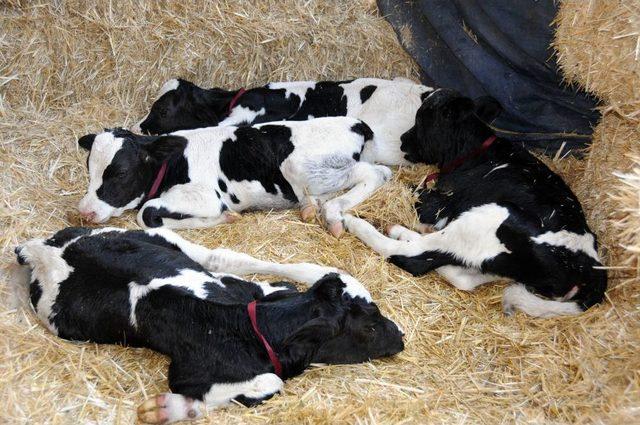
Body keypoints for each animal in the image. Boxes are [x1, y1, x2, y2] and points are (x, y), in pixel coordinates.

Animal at [13, 227, 404, 422]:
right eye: (369, 330)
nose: (400, 337)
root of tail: (41, 248)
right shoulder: (187, 372)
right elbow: (270, 382)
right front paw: (169, 408)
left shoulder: (255, 292)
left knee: (218, 257)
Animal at [78, 116, 392, 235]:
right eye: (89, 168)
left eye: (120, 172)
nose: (85, 212)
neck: (176, 163)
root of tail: (357, 123)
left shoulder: (206, 196)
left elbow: (147, 213)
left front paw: (224, 217)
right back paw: (310, 207)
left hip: (299, 165)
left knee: (373, 173)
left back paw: (333, 214)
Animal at [340, 89, 604, 316]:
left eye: (422, 119)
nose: (404, 140)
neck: (473, 152)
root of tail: (591, 270)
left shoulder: (439, 203)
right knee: (460, 273)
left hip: (489, 217)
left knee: (412, 256)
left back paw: (365, 226)